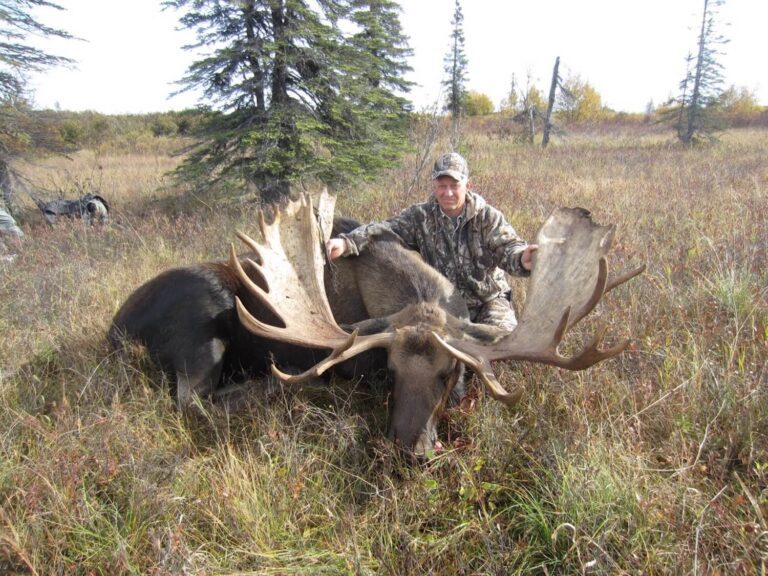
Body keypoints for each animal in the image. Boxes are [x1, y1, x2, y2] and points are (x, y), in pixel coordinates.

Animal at [108, 194, 640, 460]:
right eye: (388, 371)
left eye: (449, 374)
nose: (410, 449)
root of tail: (114, 330)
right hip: (203, 323)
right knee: (192, 402)